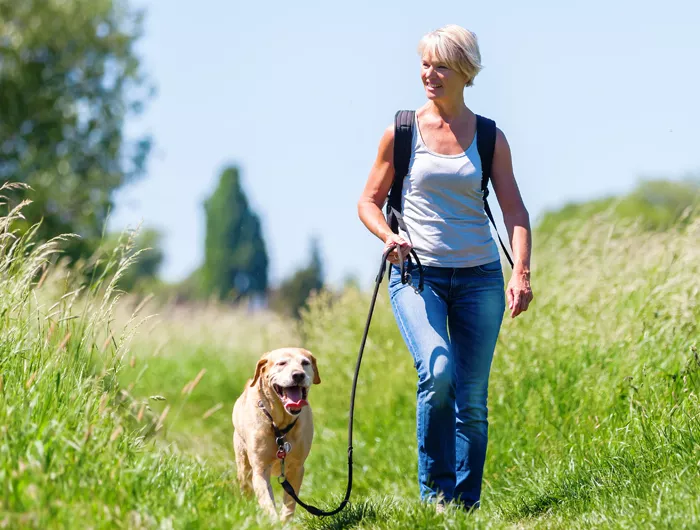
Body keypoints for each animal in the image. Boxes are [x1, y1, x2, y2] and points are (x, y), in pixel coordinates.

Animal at [235, 344, 322, 516]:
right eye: (282, 363)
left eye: (305, 363)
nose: (298, 375)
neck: (279, 425)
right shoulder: (260, 470)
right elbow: (268, 504)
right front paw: (272, 519)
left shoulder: (297, 469)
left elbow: (289, 505)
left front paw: (284, 519)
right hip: (243, 465)